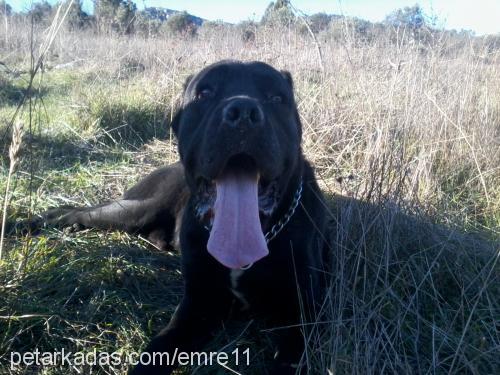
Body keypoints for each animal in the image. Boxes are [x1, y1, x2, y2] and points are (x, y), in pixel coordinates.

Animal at [23, 61, 330, 374]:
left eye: (276, 98)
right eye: (204, 94)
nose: (243, 111)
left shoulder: (299, 317)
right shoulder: (197, 305)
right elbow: (157, 348)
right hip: (133, 211)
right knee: (81, 213)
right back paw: (30, 222)